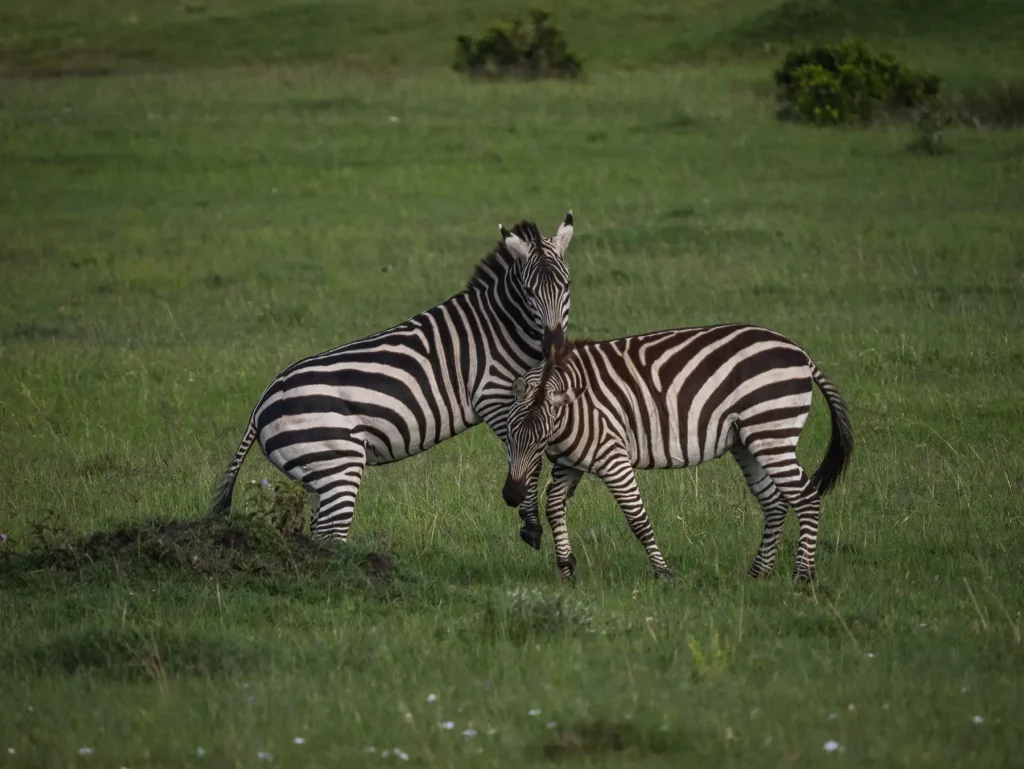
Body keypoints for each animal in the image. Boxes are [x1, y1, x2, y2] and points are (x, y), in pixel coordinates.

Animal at [208, 212, 575, 542]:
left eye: (567, 286)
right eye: (528, 291)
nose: (555, 347)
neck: (499, 329)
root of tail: (260, 406)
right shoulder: (494, 398)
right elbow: (527, 457)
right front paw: (530, 524)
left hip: (316, 475)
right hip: (338, 463)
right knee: (330, 535)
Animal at [500, 325, 853, 581]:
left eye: (542, 439)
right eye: (509, 435)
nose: (511, 495)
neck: (572, 411)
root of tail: (800, 352)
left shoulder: (612, 456)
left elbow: (637, 519)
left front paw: (663, 574)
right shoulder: (569, 464)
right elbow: (554, 507)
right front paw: (566, 569)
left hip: (771, 431)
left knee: (806, 497)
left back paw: (802, 577)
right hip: (749, 442)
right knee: (775, 502)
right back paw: (758, 573)